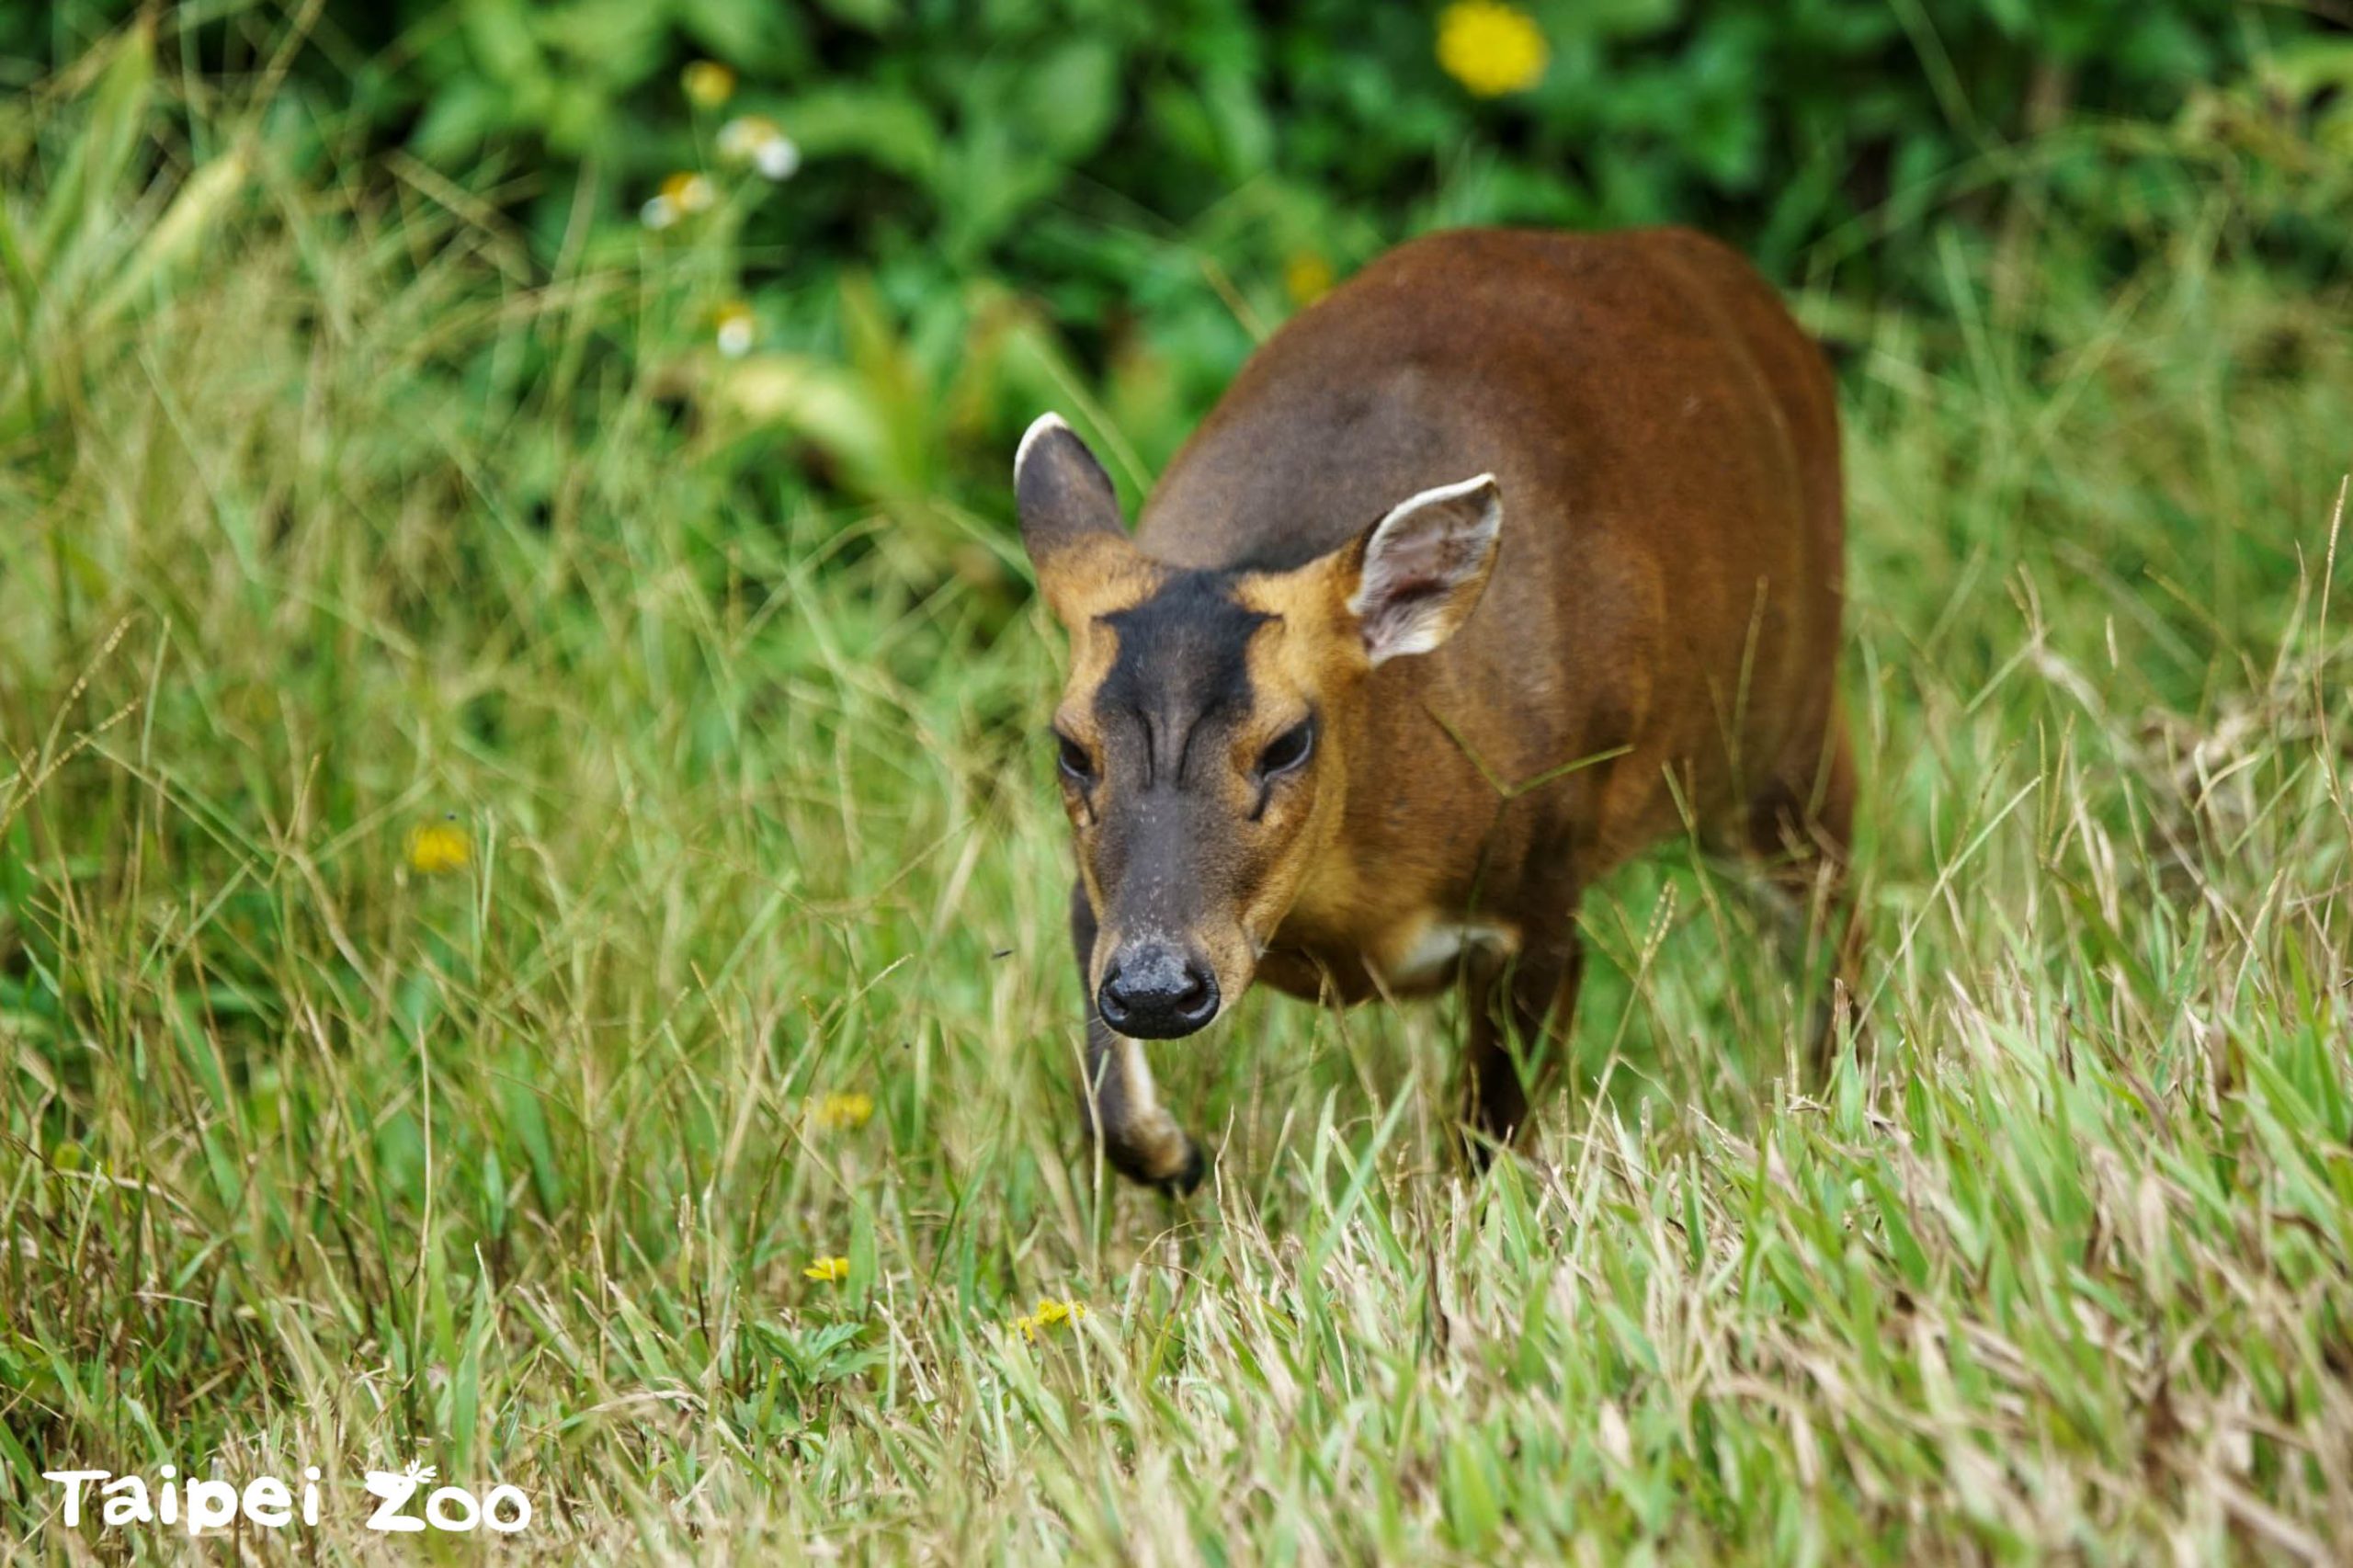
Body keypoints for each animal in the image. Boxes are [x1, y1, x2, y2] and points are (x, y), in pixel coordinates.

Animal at [1021, 229, 1845, 1187]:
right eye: (1071, 746)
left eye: (1287, 742)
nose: (1157, 989)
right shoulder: (1096, 906)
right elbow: (1109, 1105)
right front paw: (1182, 1155)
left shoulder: (1543, 890)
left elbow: (1492, 1136)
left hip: (1791, 726)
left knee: (1836, 926)